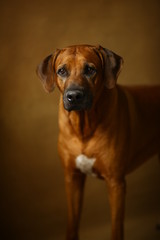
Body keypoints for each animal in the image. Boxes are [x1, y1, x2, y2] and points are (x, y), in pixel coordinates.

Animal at [36, 44, 160, 239]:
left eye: (90, 69)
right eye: (62, 71)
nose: (74, 96)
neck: (84, 127)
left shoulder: (116, 183)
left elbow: (116, 228)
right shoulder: (72, 177)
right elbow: (72, 224)